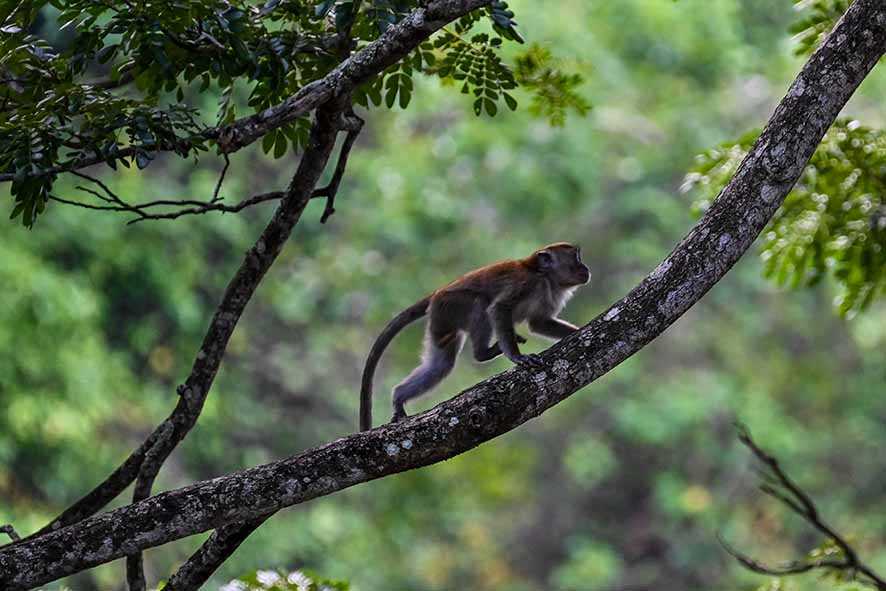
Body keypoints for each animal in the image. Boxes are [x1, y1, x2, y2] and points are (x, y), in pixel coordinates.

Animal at [358, 243, 592, 432]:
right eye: (577, 258)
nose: (586, 268)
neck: (544, 277)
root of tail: (437, 293)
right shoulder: (526, 283)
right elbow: (499, 309)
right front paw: (517, 357)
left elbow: (539, 323)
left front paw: (578, 332)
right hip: (450, 305)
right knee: (480, 304)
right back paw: (483, 353)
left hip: (440, 318)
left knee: (440, 365)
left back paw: (399, 396)